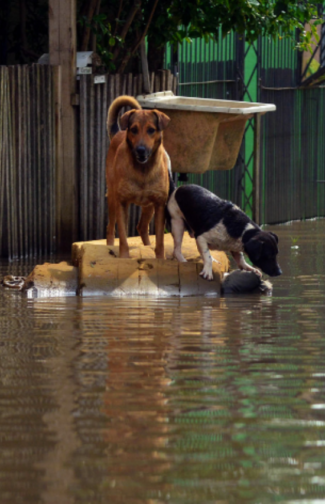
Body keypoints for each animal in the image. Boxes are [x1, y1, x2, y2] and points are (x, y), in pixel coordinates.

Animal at [105, 96, 171, 258]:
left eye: (151, 130)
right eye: (134, 129)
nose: (141, 150)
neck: (143, 170)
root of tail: (119, 132)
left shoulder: (160, 204)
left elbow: (160, 240)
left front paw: (160, 258)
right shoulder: (122, 202)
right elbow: (123, 237)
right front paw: (124, 257)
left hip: (149, 206)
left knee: (142, 227)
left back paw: (147, 246)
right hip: (112, 198)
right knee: (111, 227)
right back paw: (110, 246)